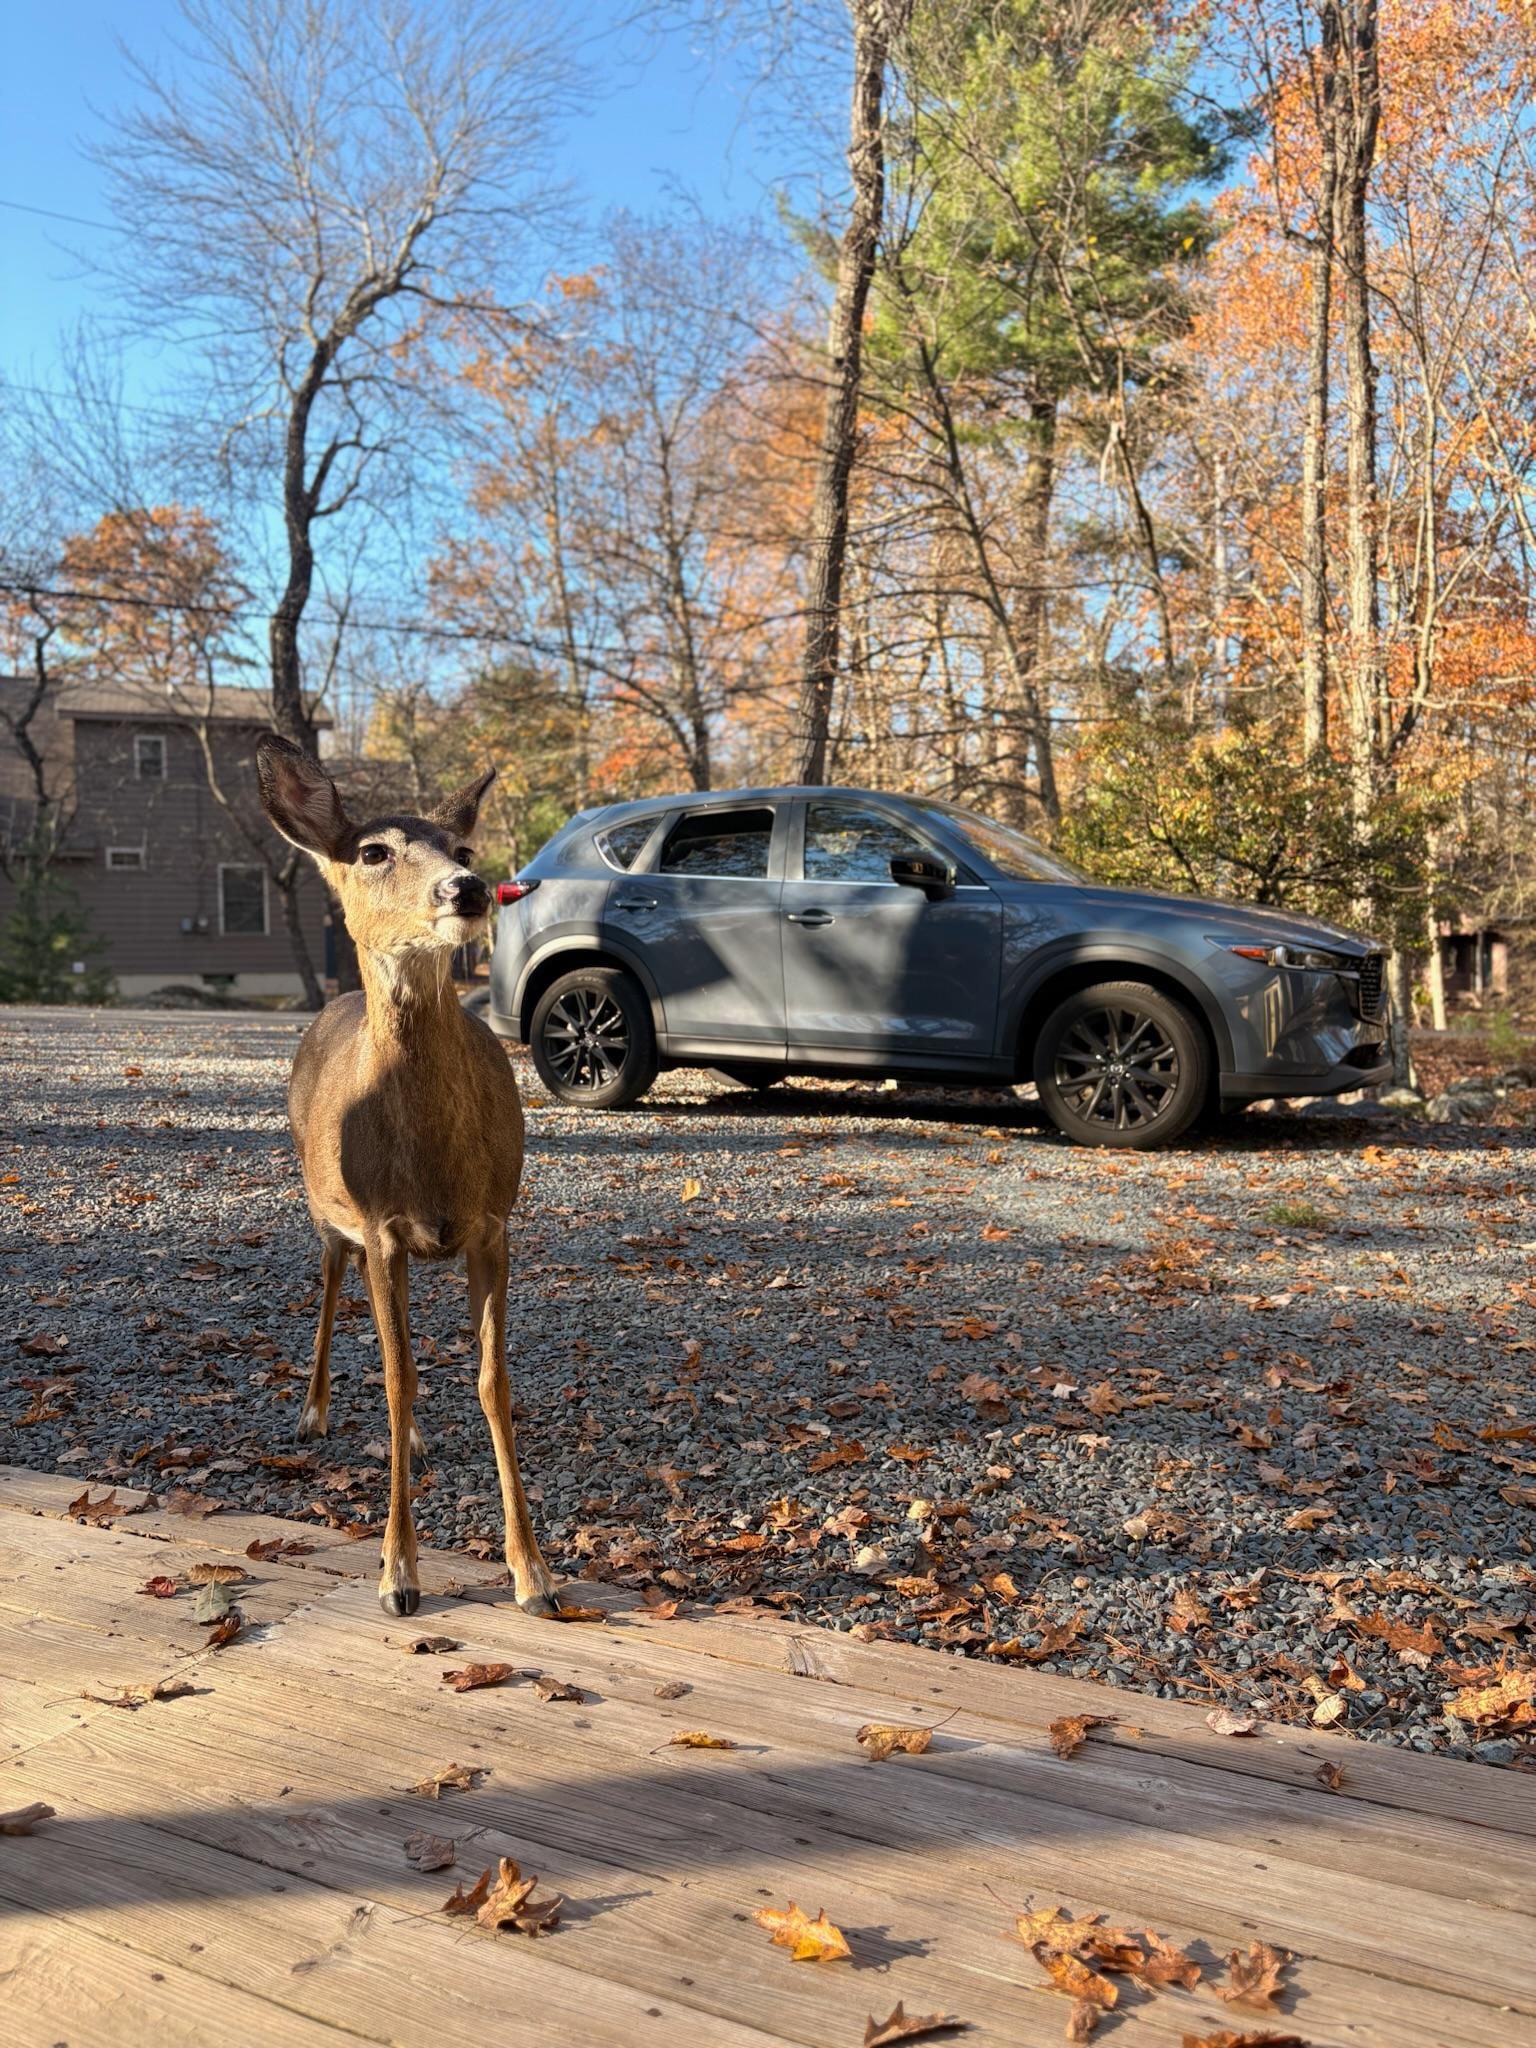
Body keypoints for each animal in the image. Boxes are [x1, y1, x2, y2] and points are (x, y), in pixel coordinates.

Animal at [255, 734, 562, 1619]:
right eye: (373, 851)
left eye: (461, 847)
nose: (466, 887)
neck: (432, 1160)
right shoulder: (382, 1225)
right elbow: (396, 1380)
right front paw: (398, 1573)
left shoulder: (493, 1222)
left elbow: (491, 1381)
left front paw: (532, 1572)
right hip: (327, 1210)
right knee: (332, 1283)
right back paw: (313, 1412)